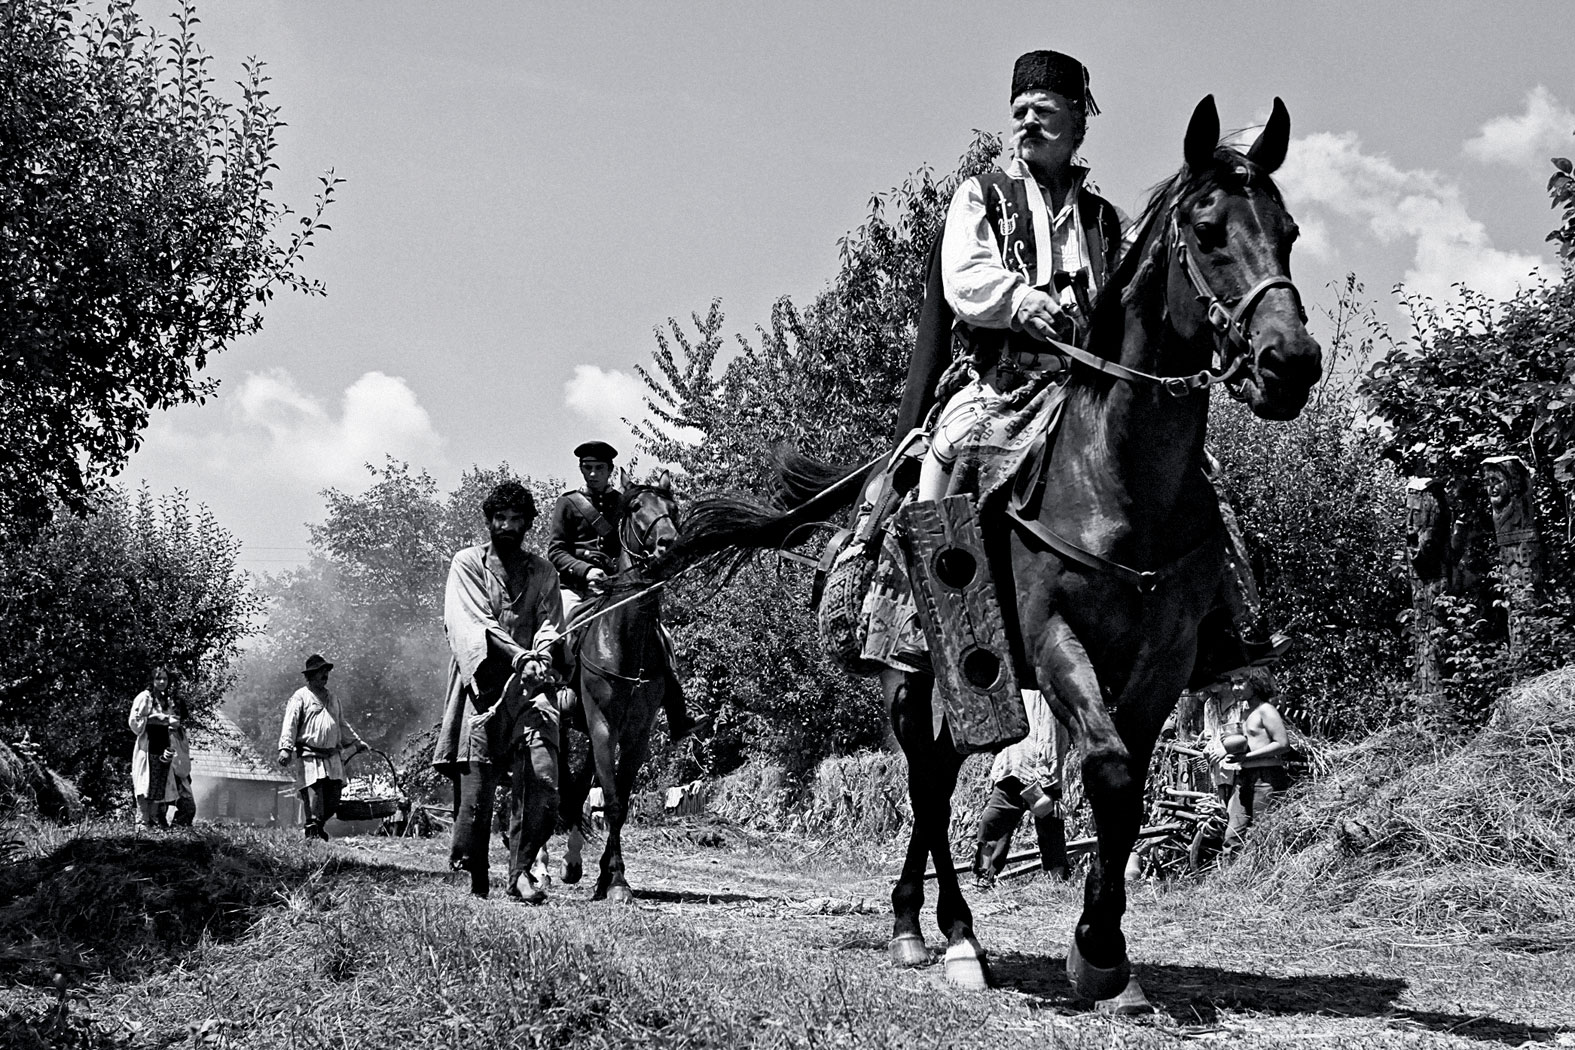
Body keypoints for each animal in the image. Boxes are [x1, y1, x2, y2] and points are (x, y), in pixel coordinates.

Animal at [554, 469, 677, 906]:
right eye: (637, 506)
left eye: (673, 507)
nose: (668, 542)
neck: (625, 636)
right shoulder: (603, 725)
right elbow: (608, 799)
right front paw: (616, 879)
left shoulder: (636, 733)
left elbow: (619, 804)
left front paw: (611, 879)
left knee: (574, 790)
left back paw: (574, 864)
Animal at [648, 100, 1316, 1007]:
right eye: (1208, 231)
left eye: (1287, 232)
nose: (1291, 365)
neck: (1112, 482)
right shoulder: (1052, 642)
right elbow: (1107, 772)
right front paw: (1094, 951)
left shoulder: (1163, 663)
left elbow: (1125, 790)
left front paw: (1105, 957)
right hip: (913, 674)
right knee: (926, 783)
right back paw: (938, 935)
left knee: (939, 774)